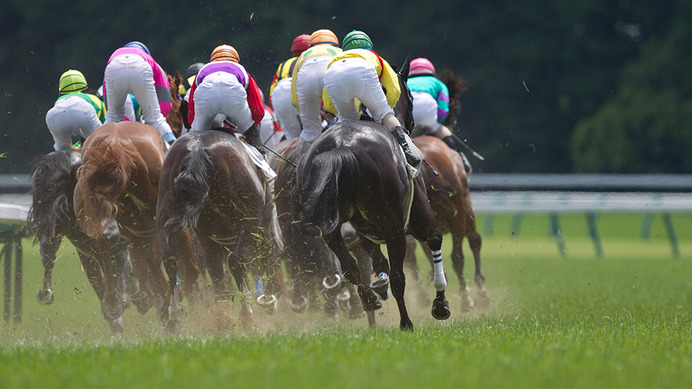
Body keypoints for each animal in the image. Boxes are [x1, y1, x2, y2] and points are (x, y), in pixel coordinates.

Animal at [157, 129, 282, 332]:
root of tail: (197, 150)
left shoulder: (209, 239)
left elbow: (215, 271)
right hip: (248, 223)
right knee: (237, 262)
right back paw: (247, 314)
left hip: (165, 218)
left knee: (170, 259)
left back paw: (174, 316)